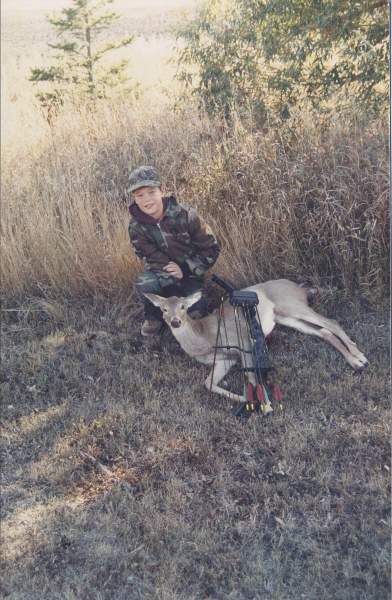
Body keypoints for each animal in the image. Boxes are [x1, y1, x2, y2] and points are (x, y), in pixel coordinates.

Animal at [144, 278, 368, 404]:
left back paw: (360, 357)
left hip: (291, 305)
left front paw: (261, 403)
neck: (203, 337)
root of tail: (300, 287)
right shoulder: (226, 359)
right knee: (324, 331)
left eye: (183, 307)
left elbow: (251, 377)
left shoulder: (242, 342)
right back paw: (355, 362)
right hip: (285, 317)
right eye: (163, 309)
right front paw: (243, 399)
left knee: (332, 322)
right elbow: (208, 383)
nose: (175, 321)